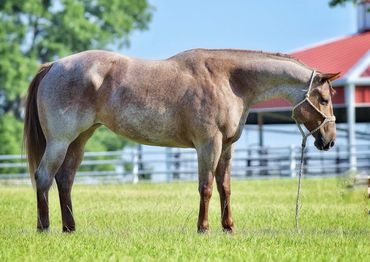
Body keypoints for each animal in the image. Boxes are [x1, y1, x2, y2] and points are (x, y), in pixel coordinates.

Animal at [23, 48, 340, 232]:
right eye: (324, 99)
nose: (330, 140)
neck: (229, 81)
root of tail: (54, 65)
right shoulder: (208, 144)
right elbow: (206, 188)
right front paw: (203, 228)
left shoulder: (226, 147)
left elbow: (225, 188)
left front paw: (229, 228)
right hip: (60, 141)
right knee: (43, 177)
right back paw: (44, 228)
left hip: (79, 141)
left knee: (64, 180)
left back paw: (70, 228)